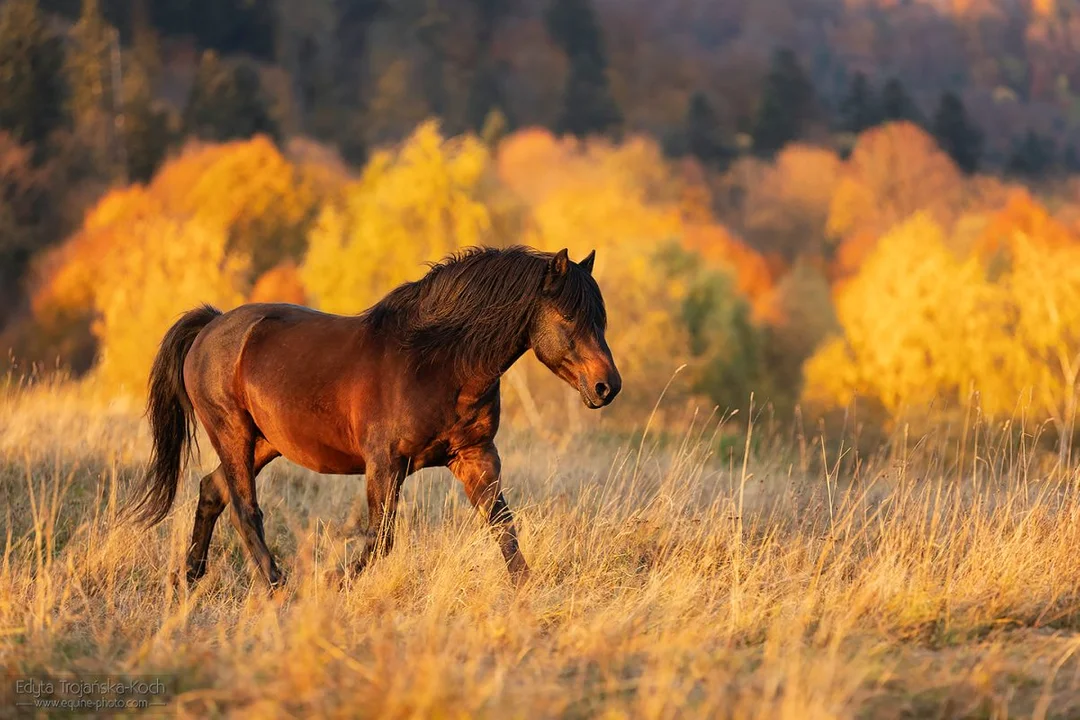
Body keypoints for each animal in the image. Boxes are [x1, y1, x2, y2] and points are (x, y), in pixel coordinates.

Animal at [127, 245, 622, 587]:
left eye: (601, 317)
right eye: (567, 316)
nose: (608, 387)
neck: (437, 361)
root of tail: (212, 325)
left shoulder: (476, 457)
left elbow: (504, 528)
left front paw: (526, 593)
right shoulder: (385, 465)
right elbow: (381, 539)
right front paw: (331, 584)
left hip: (265, 443)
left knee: (213, 491)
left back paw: (190, 579)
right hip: (232, 434)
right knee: (246, 510)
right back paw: (278, 589)